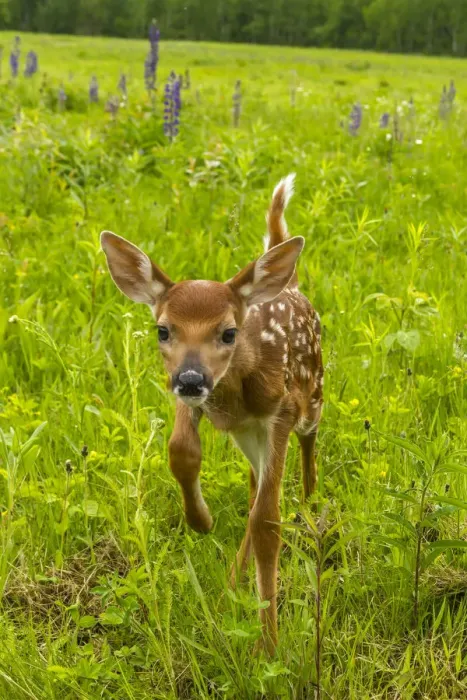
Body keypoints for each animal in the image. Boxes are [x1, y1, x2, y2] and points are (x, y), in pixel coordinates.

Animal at [100, 174, 323, 654]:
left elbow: (268, 521)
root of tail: (292, 284)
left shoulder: (280, 412)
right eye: (163, 329)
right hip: (248, 437)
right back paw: (231, 586)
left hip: (312, 395)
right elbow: (181, 452)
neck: (236, 392)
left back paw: (312, 508)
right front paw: (200, 521)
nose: (190, 377)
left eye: (228, 332)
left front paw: (268, 646)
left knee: (307, 446)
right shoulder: (199, 405)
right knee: (255, 485)